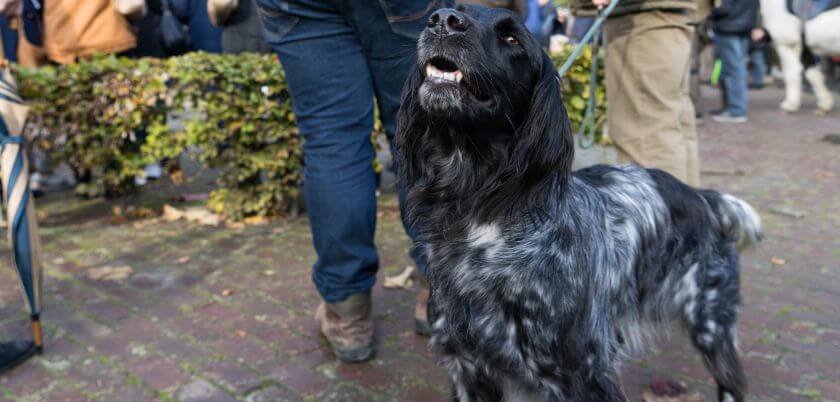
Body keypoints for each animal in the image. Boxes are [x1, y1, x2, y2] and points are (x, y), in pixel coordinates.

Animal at [396, 3, 760, 402]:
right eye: (450, 9)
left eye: (512, 38)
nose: (443, 21)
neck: (477, 212)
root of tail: (704, 197)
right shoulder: (468, 368)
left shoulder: (582, 375)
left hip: (711, 324)